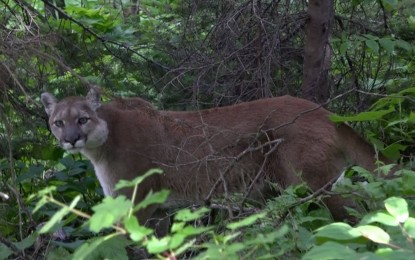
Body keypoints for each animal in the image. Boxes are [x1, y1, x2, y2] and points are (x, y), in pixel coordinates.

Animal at [41, 88, 380, 232]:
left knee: (353, 214)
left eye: (82, 119)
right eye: (58, 122)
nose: (71, 139)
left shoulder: (135, 203)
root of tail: (323, 111)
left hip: (313, 184)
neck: (103, 141)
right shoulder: (157, 208)